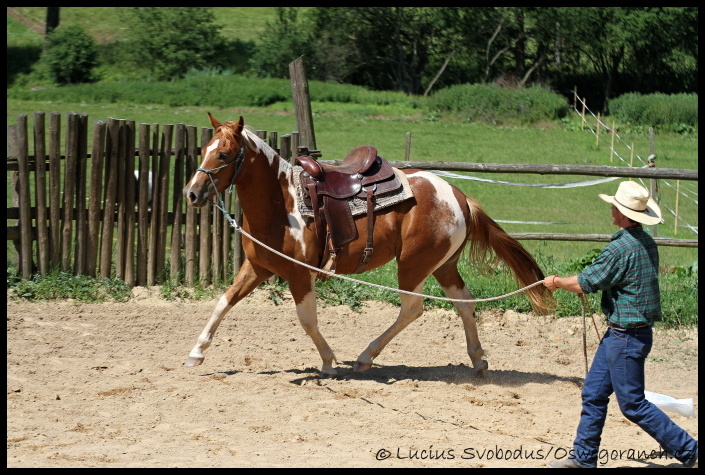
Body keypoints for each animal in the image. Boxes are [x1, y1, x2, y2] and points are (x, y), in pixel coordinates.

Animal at [182, 113, 556, 378]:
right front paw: (196, 353)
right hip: (443, 265)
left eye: (224, 154)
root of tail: (458, 195)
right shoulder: (257, 267)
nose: (192, 193)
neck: (283, 202)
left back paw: (365, 357)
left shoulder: (300, 276)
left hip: (414, 264)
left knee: (412, 309)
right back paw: (477, 359)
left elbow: (307, 321)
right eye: (203, 150)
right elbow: (223, 302)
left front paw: (329, 362)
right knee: (464, 302)